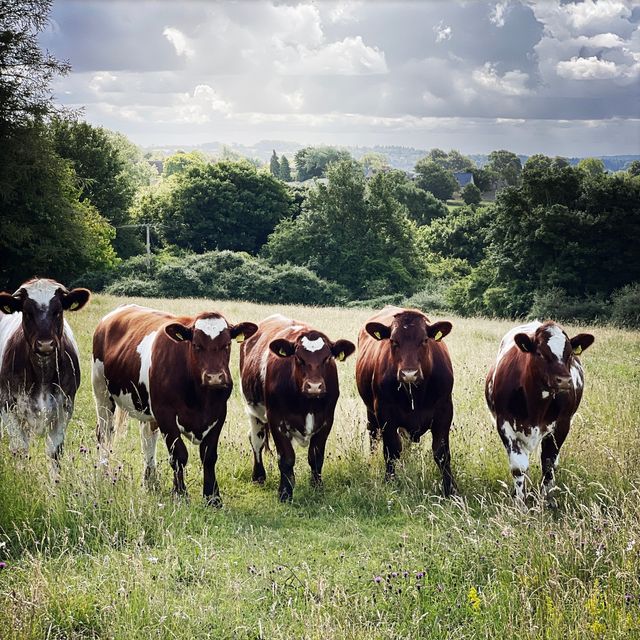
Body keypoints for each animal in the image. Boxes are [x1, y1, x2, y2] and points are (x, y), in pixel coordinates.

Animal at [0, 276, 90, 476]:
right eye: (27, 312)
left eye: (58, 311)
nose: (45, 344)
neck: (42, 373)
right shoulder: (7, 405)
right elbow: (20, 448)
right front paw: (21, 478)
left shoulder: (65, 407)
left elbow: (54, 451)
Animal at [92, 304, 258, 504]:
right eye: (196, 345)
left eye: (227, 344)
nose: (215, 377)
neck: (200, 397)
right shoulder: (165, 414)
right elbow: (179, 455)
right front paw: (180, 494)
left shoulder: (218, 414)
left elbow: (209, 456)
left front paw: (213, 497)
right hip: (101, 391)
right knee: (104, 433)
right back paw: (104, 472)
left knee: (147, 439)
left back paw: (151, 482)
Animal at [241, 312, 356, 502]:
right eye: (298, 358)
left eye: (327, 358)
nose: (314, 386)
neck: (307, 403)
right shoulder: (276, 420)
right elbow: (286, 458)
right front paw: (285, 493)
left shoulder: (327, 420)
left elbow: (316, 457)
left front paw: (317, 487)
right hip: (253, 411)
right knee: (256, 441)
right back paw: (259, 476)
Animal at [356, 304, 456, 496]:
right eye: (393, 341)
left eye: (424, 340)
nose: (409, 373)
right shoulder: (384, 412)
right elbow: (392, 449)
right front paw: (390, 481)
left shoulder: (444, 410)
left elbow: (441, 453)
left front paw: (450, 489)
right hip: (370, 412)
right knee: (374, 435)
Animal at [484, 322, 596, 508]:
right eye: (540, 353)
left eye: (570, 354)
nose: (564, 380)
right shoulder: (504, 424)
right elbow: (519, 467)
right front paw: (520, 503)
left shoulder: (562, 425)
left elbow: (548, 463)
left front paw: (546, 501)